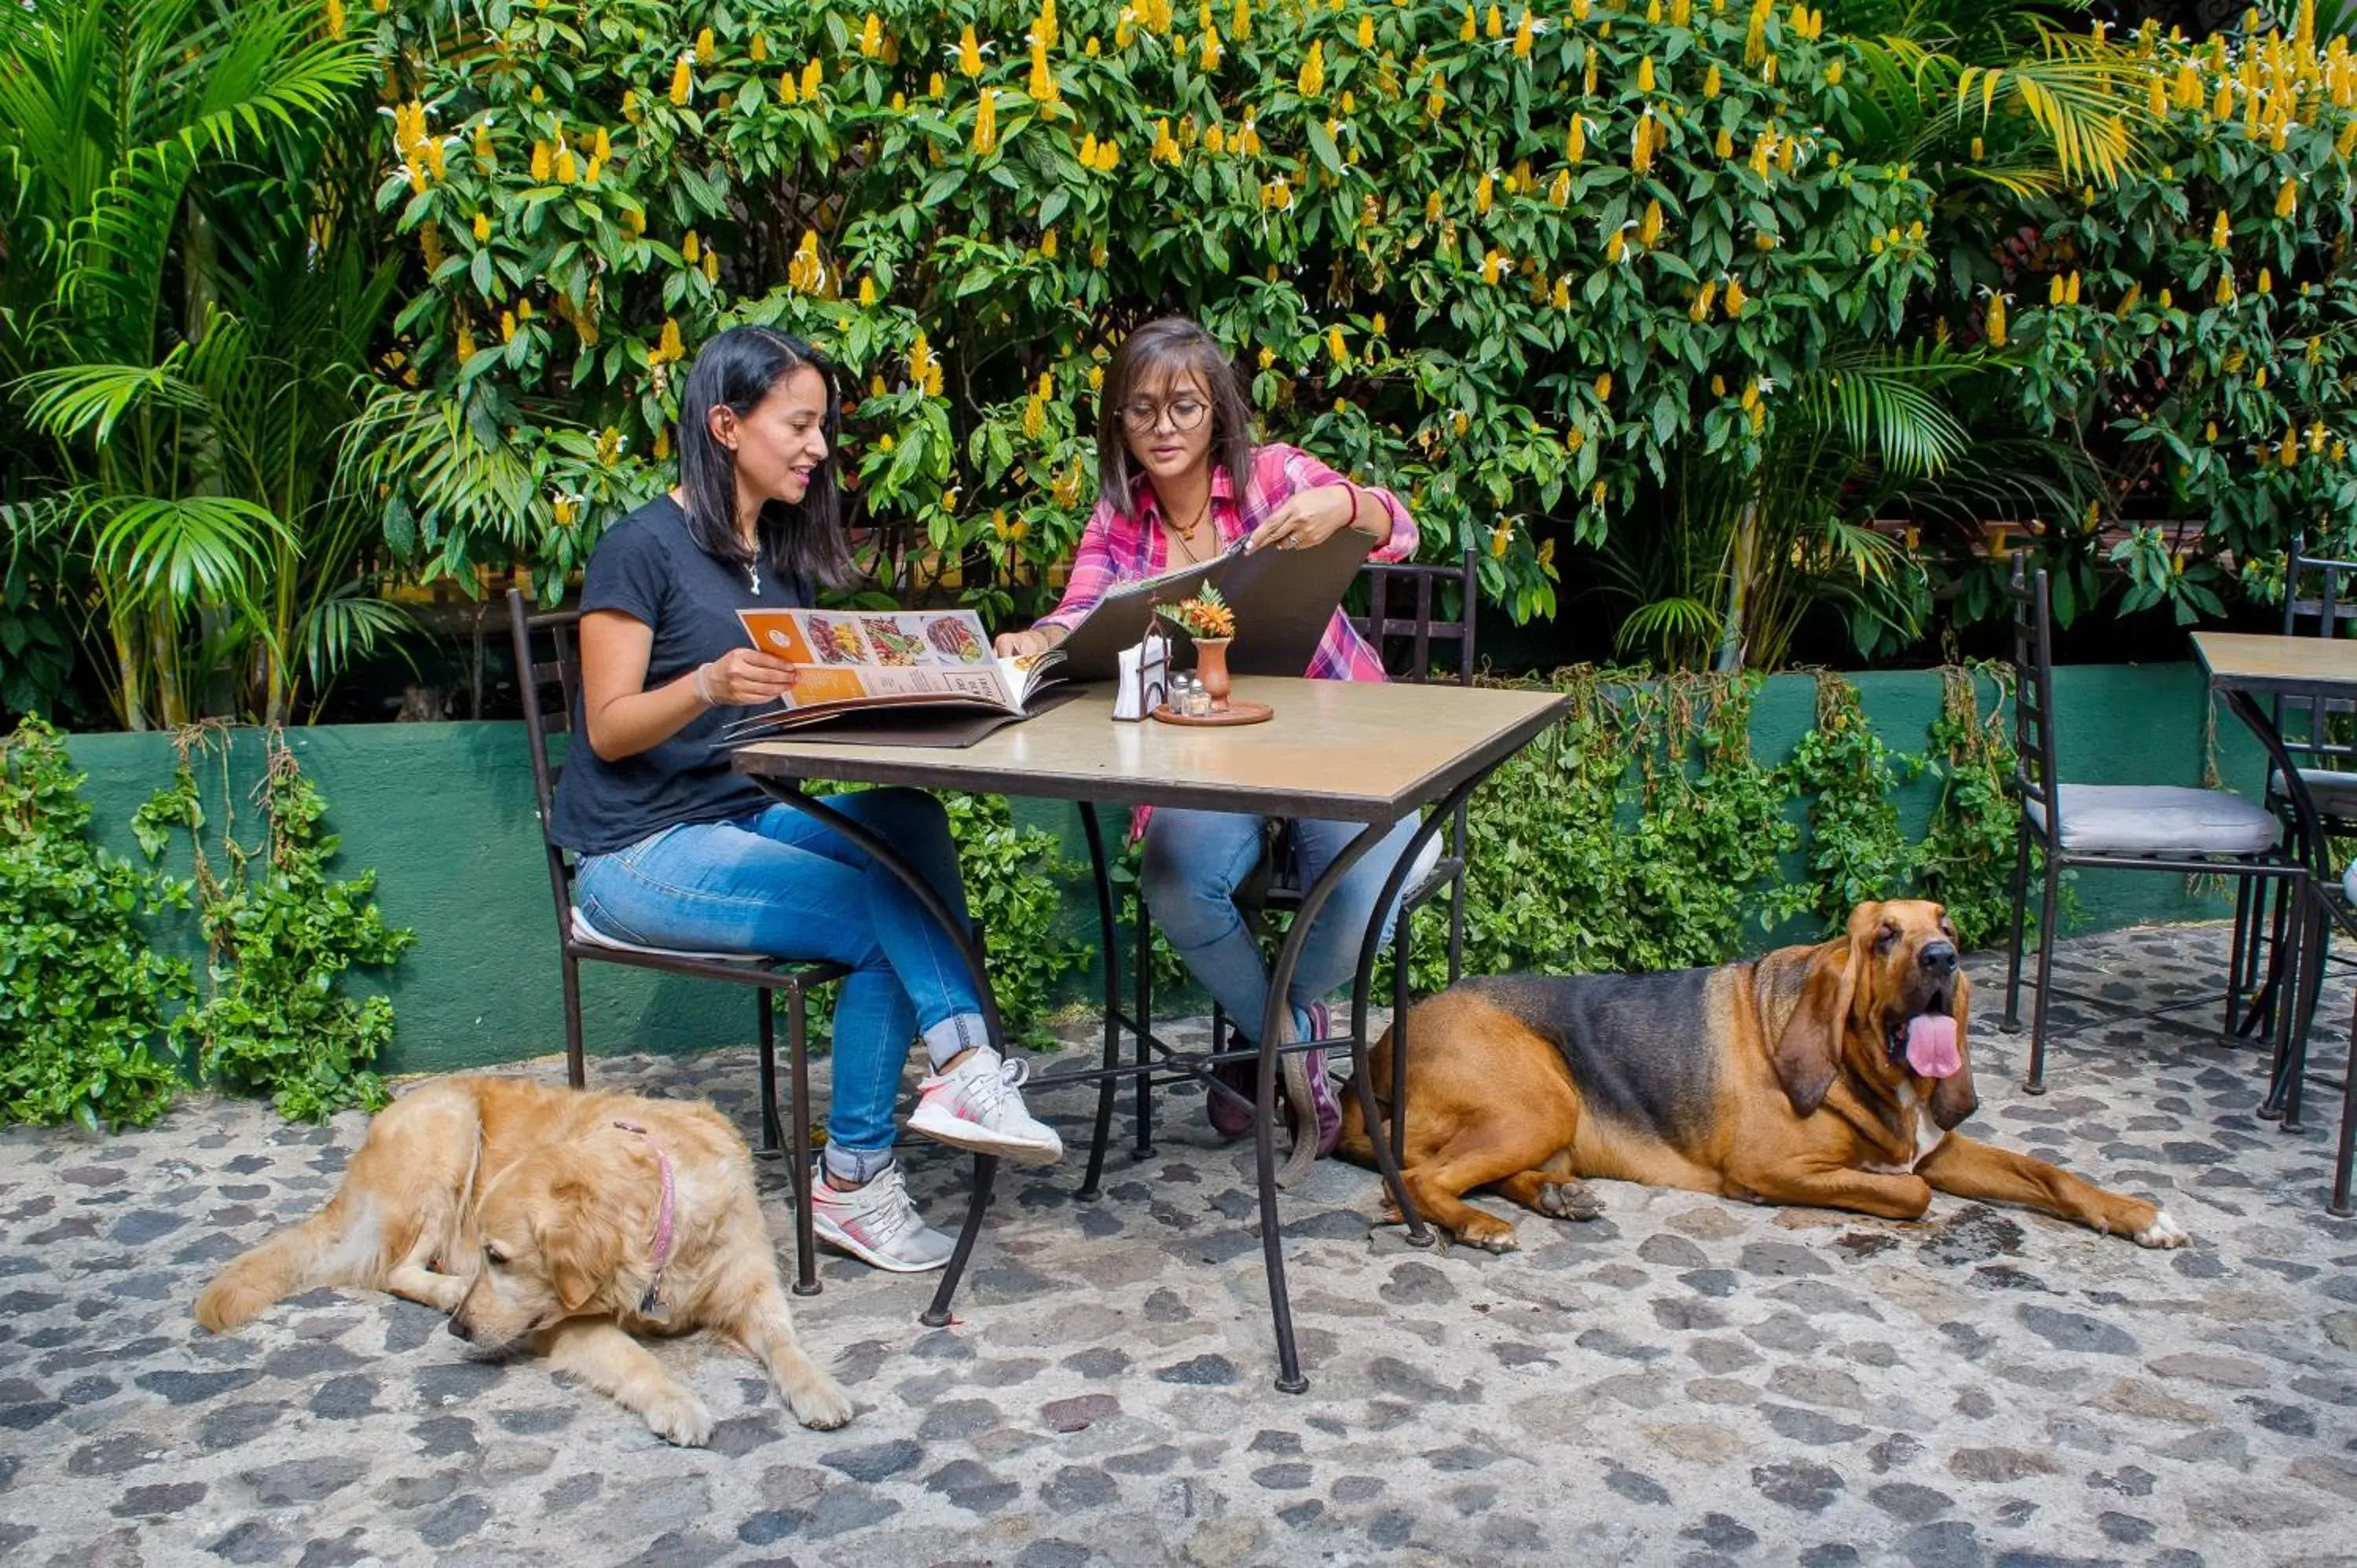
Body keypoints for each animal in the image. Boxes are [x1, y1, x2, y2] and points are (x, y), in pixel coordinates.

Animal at [1348, 900, 2187, 1254]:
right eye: (1885, 936)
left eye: (1944, 927)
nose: (1944, 958)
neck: (1865, 1071)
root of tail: (1381, 1049)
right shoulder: (1772, 1166)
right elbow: (1909, 1195)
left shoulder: (1938, 1148)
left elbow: (2047, 1172)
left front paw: (2138, 1214)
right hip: (1542, 1100)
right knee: (1418, 1178)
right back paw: (1475, 1225)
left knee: (1461, 1171)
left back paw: (1555, 1196)